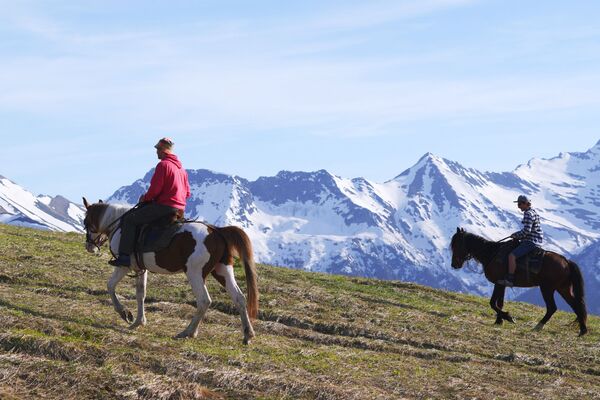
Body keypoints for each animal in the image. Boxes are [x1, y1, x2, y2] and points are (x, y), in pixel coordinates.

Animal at [81, 197, 258, 344]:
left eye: (85, 221)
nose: (89, 246)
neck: (119, 224)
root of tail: (217, 231)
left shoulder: (123, 266)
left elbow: (110, 285)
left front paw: (125, 314)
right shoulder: (140, 269)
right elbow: (140, 294)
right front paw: (139, 321)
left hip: (195, 273)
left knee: (204, 301)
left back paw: (188, 332)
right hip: (223, 271)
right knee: (239, 298)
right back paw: (247, 334)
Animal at [450, 228, 584, 334]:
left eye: (456, 245)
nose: (454, 264)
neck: (492, 254)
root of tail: (566, 261)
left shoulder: (498, 283)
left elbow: (493, 303)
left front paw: (508, 317)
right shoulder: (502, 284)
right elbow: (499, 303)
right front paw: (499, 321)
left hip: (547, 288)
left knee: (552, 308)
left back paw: (538, 326)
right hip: (563, 288)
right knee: (576, 305)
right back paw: (583, 330)